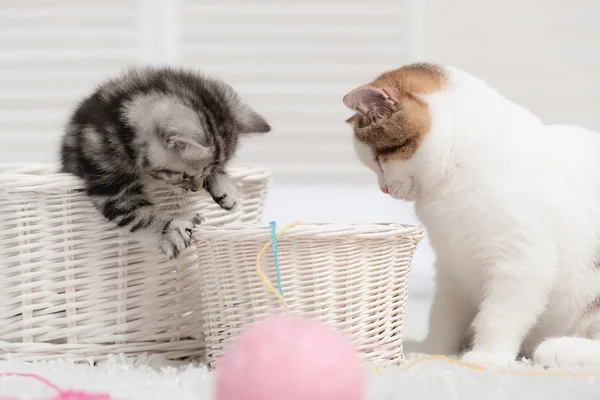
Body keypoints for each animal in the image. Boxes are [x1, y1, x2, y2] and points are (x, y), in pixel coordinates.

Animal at [59, 65, 270, 260]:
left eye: (205, 173)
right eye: (185, 175)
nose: (195, 188)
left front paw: (224, 187)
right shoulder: (109, 184)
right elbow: (139, 215)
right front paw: (168, 231)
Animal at [344, 63, 600, 368]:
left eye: (379, 159)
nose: (383, 188)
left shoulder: (522, 261)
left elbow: (498, 316)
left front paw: (486, 356)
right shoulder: (452, 268)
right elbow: (443, 316)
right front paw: (432, 350)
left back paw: (558, 349)